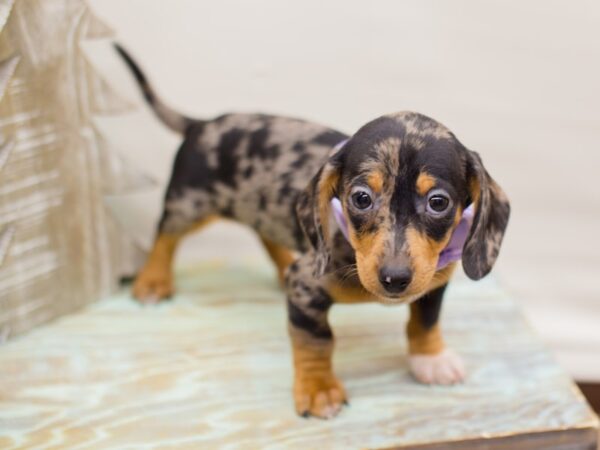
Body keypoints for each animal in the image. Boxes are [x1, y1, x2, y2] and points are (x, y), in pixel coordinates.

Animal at [118, 44, 510, 418]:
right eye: (361, 198)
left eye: (438, 202)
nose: (395, 278)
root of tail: (203, 124)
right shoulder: (306, 287)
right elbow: (316, 341)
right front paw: (319, 389)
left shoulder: (435, 280)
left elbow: (425, 321)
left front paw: (430, 358)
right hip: (188, 203)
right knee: (165, 235)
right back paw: (153, 279)